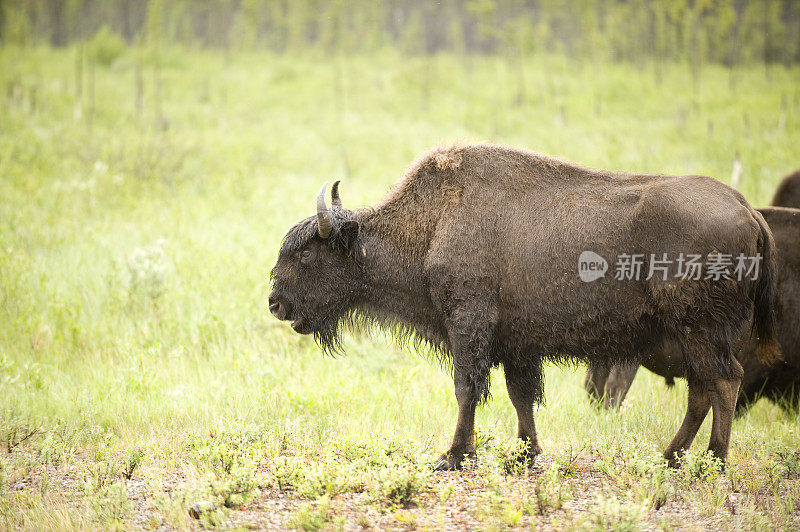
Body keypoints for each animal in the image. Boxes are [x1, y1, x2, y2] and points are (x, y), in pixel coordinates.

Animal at [268, 142, 776, 470]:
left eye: (307, 254)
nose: (275, 302)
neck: (431, 227)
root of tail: (748, 209)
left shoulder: (468, 324)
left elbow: (467, 388)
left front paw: (453, 457)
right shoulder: (515, 343)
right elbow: (521, 396)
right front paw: (526, 454)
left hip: (699, 329)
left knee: (723, 381)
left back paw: (713, 462)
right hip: (690, 335)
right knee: (701, 389)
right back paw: (671, 457)